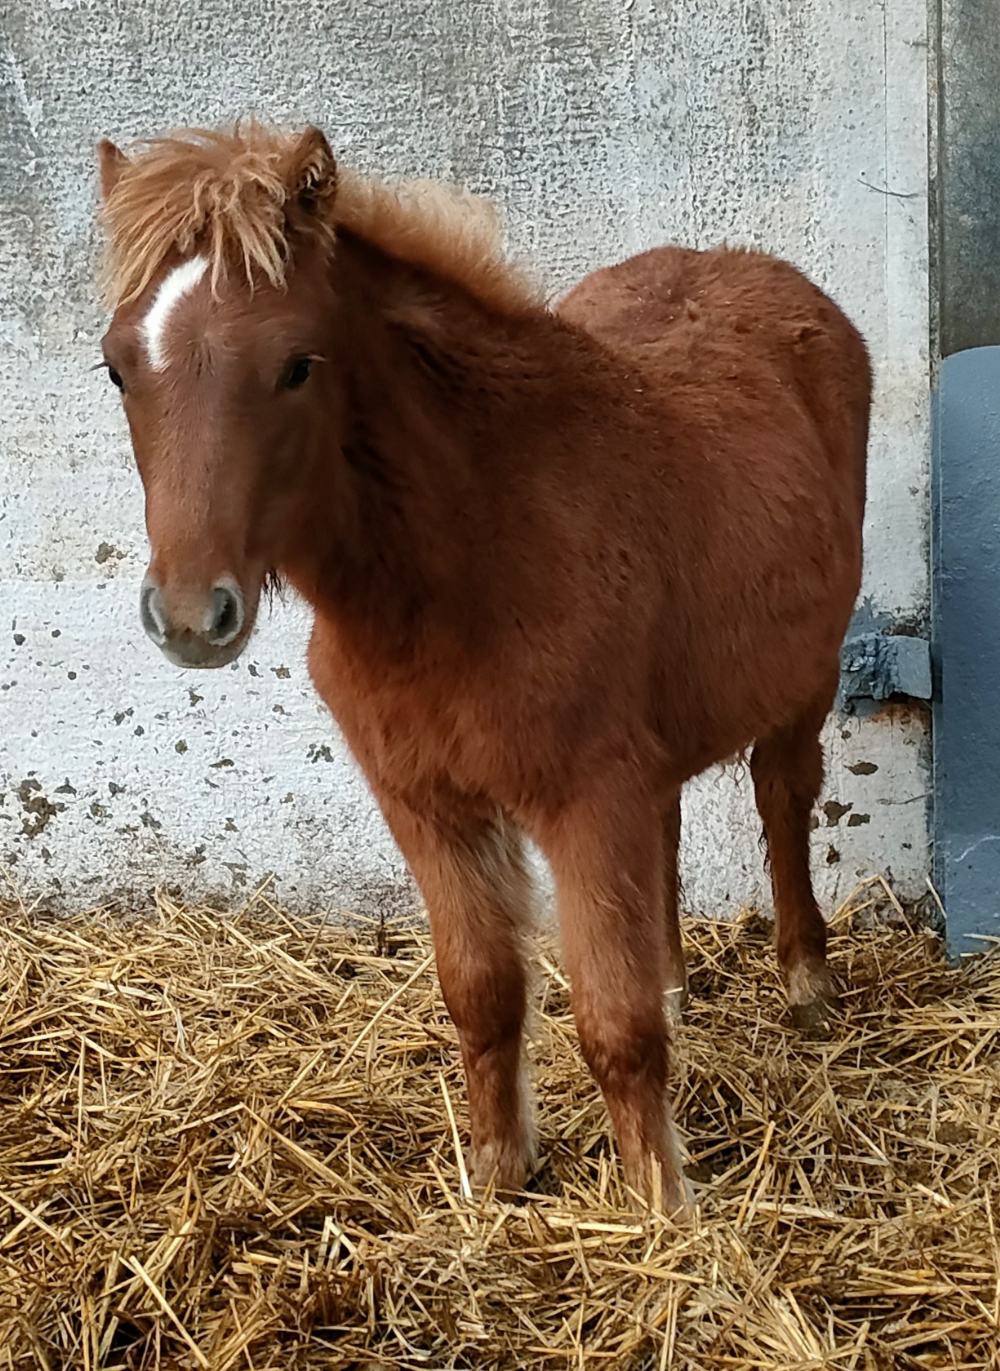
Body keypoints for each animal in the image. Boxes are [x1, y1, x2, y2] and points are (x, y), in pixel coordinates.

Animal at [95, 123, 870, 1216]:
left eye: (296, 365)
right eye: (118, 369)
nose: (191, 615)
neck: (472, 555)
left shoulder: (585, 799)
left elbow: (616, 1025)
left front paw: (660, 1210)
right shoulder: (426, 805)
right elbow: (481, 993)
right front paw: (501, 1172)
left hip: (804, 679)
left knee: (782, 797)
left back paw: (805, 978)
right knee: (672, 825)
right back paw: (678, 974)